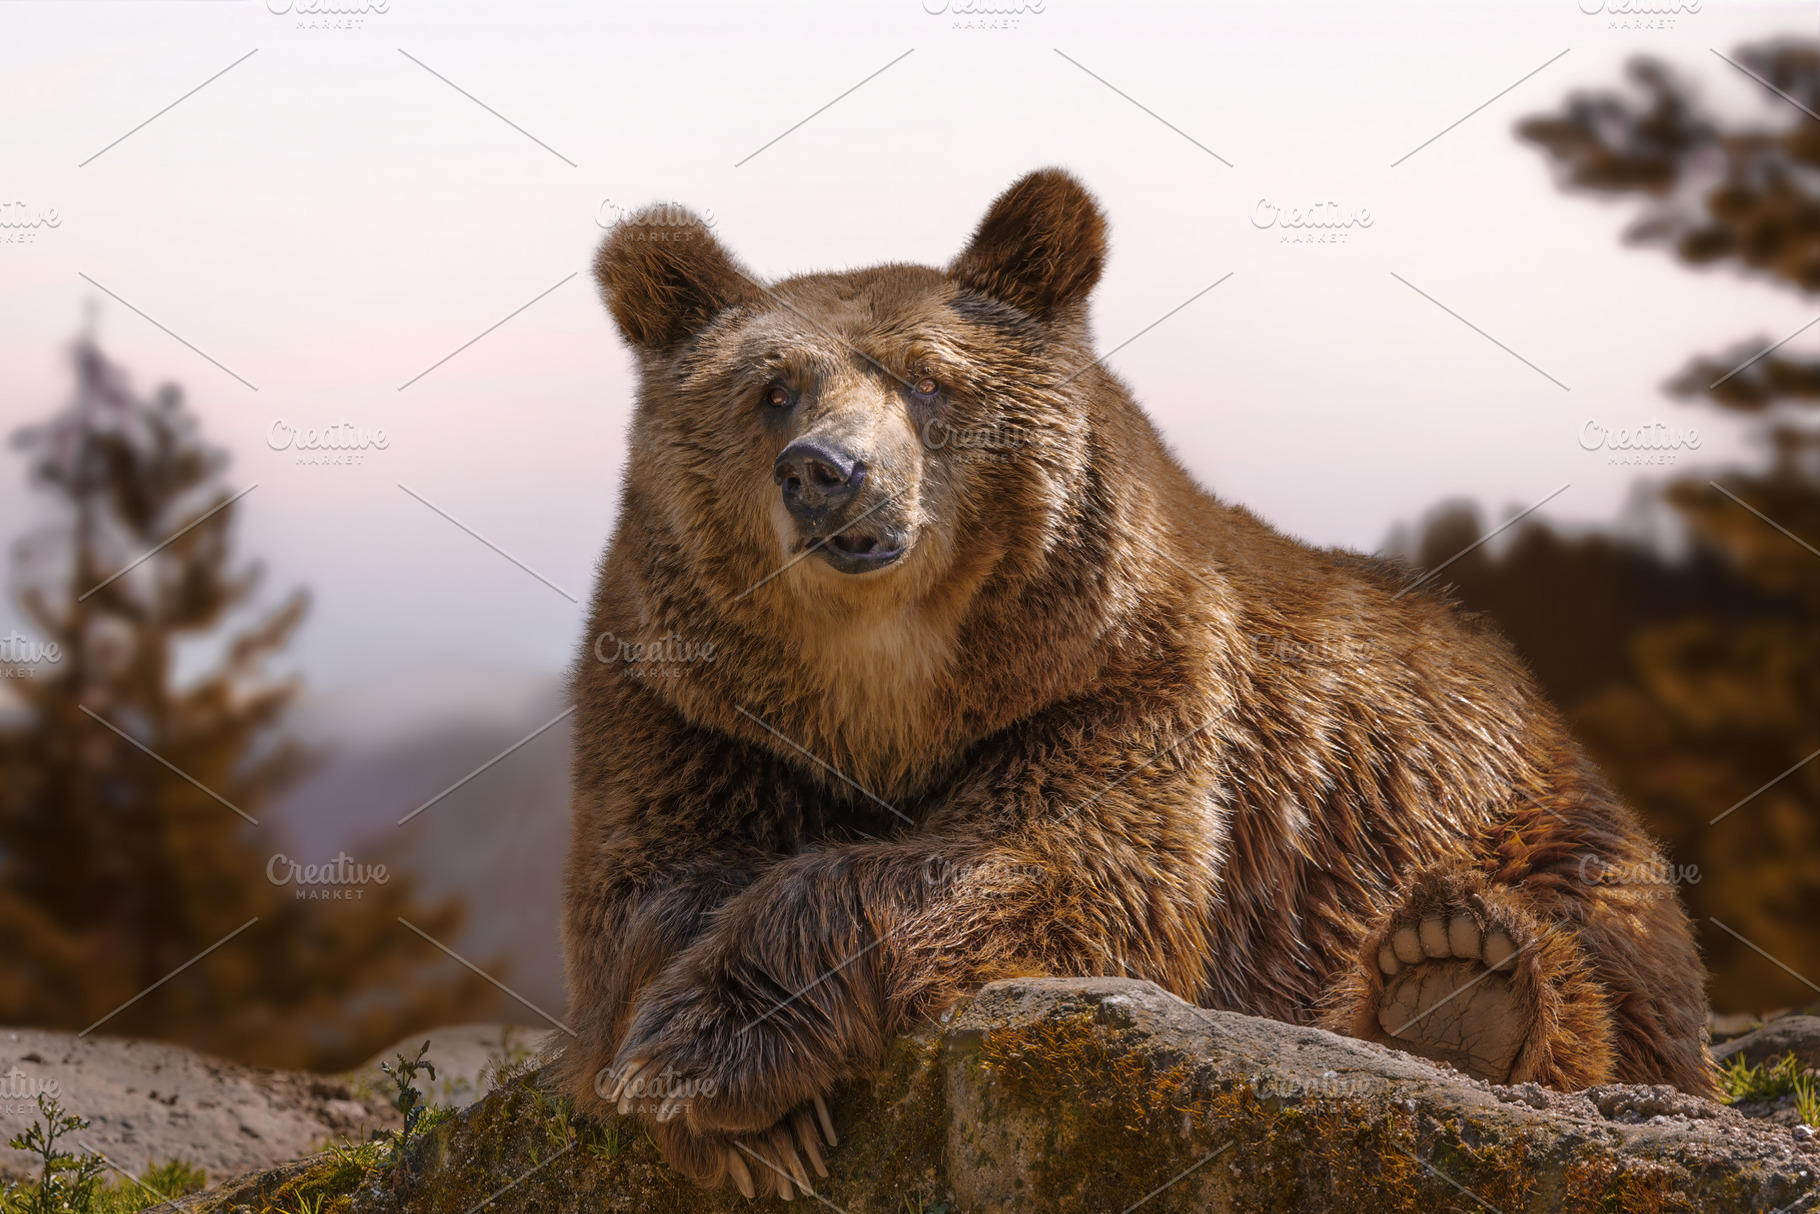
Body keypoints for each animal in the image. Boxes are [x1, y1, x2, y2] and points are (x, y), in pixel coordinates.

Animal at [560, 168, 1715, 1200]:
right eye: (771, 390)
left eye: (926, 379)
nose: (825, 471)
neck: (885, 683)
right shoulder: (695, 714)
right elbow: (645, 890)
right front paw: (745, 1118)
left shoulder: (1111, 683)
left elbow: (1055, 866)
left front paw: (708, 1053)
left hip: (1497, 811)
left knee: (1607, 963)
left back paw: (1460, 980)